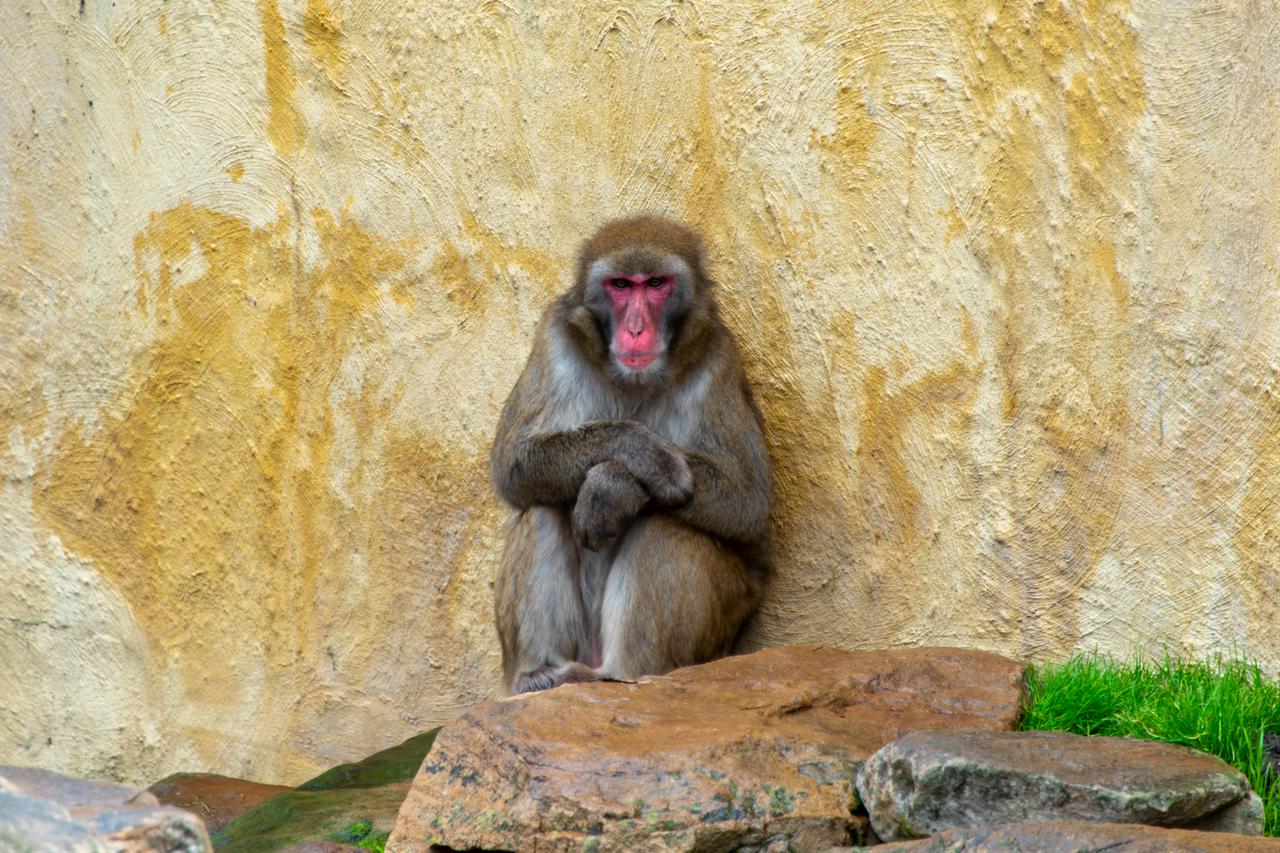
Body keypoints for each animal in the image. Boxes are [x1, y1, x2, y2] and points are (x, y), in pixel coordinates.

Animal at [490, 215, 772, 695]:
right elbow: (514, 462)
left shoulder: (719, 358)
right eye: (620, 285)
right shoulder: (555, 340)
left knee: (665, 523)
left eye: (655, 284)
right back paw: (538, 676)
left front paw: (615, 485)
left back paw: (626, 674)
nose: (636, 330)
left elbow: (747, 499)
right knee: (542, 509)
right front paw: (640, 454)